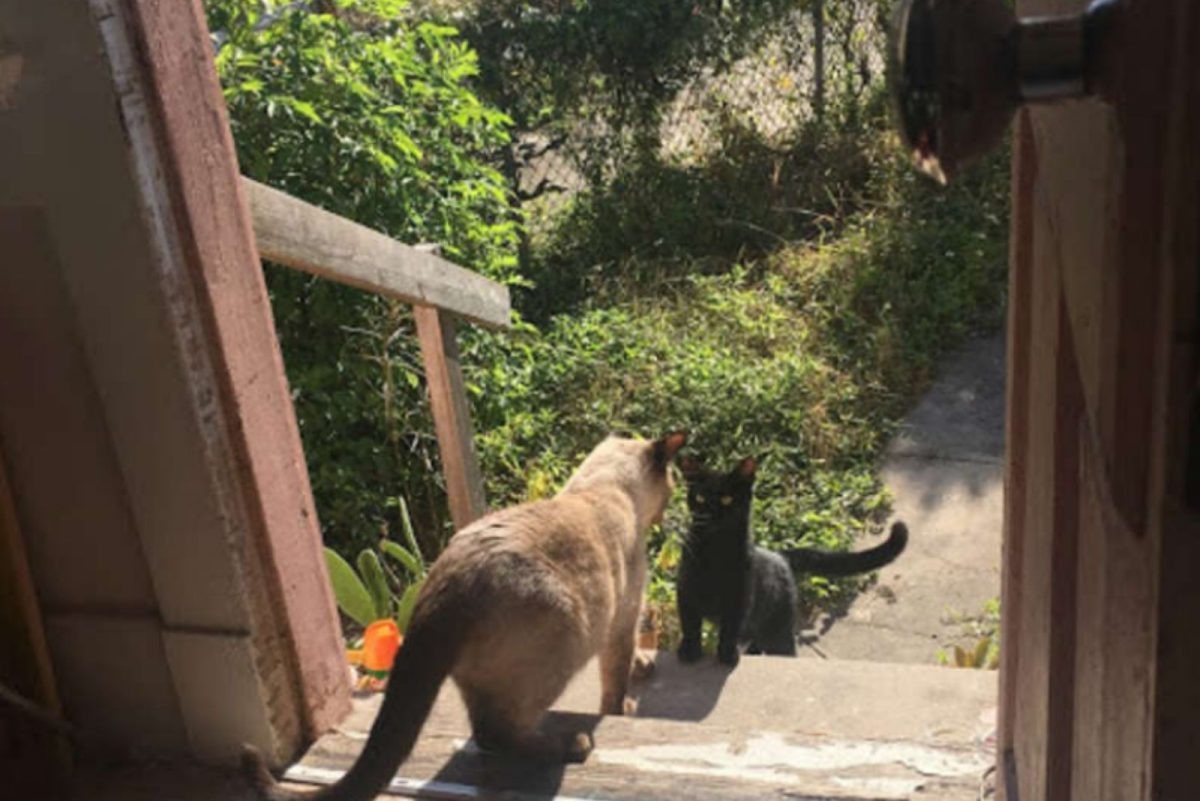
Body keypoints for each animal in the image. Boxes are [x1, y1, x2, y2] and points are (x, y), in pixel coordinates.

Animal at [246, 431, 686, 801]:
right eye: (673, 485)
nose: (671, 505)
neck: (603, 489)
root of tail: (446, 586)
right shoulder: (624, 618)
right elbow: (615, 685)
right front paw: (625, 706)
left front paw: (643, 669)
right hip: (565, 643)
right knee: (499, 730)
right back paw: (571, 745)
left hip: (484, 675)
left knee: (484, 732)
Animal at [681, 453, 902, 666]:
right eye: (700, 497)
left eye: (727, 499)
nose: (709, 514)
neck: (715, 549)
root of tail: (780, 555)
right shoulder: (687, 592)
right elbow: (690, 625)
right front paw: (689, 651)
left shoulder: (739, 599)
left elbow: (730, 630)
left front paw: (727, 655)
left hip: (777, 630)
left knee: (783, 651)